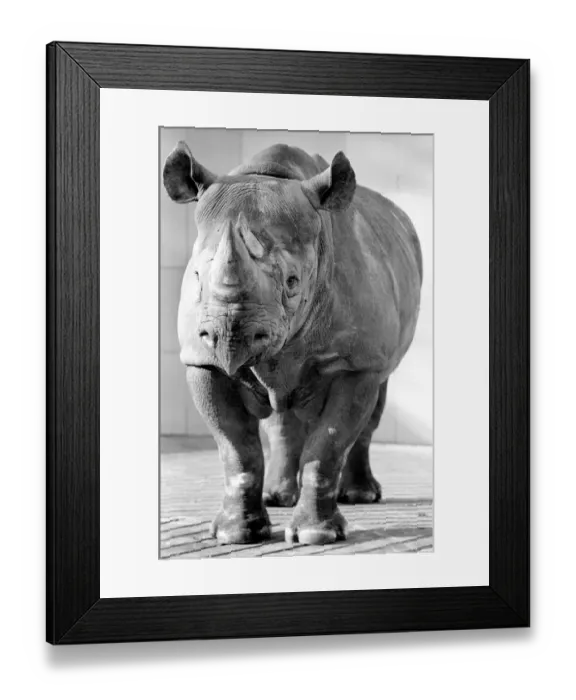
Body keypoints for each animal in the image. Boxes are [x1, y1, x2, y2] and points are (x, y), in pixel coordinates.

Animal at [163, 141, 423, 546]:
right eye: (196, 276)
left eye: (292, 281)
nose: (228, 337)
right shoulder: (201, 360)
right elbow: (237, 449)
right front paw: (236, 535)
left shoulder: (357, 364)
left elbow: (328, 445)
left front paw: (317, 535)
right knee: (280, 419)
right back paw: (278, 497)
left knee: (376, 399)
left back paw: (360, 496)